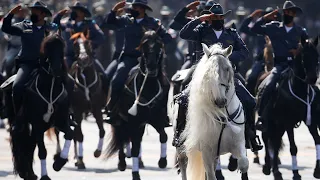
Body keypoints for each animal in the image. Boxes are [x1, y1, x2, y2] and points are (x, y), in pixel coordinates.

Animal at [0, 31, 73, 179]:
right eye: (46, 48)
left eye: (61, 46)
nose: (56, 69)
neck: (50, 88)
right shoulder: (37, 123)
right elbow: (42, 151)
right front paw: (45, 176)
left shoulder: (61, 121)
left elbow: (69, 134)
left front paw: (59, 162)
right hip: (22, 123)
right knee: (22, 140)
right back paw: (26, 172)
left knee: (30, 143)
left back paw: (30, 173)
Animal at [53, 30, 107, 169]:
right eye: (75, 44)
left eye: (87, 42)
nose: (83, 59)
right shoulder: (77, 111)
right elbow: (80, 135)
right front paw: (81, 160)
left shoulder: (96, 109)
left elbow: (102, 131)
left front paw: (97, 152)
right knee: (59, 131)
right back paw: (60, 154)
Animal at [104, 30, 170, 180]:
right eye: (144, 45)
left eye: (159, 45)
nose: (151, 67)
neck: (148, 86)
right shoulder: (134, 122)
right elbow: (133, 148)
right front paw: (135, 174)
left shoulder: (155, 119)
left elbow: (164, 136)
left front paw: (162, 161)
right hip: (121, 121)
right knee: (121, 139)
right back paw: (122, 163)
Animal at [184, 43, 249, 180]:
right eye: (208, 72)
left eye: (227, 69)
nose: (220, 100)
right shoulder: (207, 152)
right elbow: (210, 175)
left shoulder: (239, 144)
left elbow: (243, 163)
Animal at [260, 37, 320, 180]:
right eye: (304, 57)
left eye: (317, 56)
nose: (313, 78)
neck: (299, 89)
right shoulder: (288, 122)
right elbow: (293, 147)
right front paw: (296, 173)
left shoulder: (311, 121)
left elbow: (317, 140)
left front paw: (317, 170)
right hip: (270, 122)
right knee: (266, 138)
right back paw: (268, 167)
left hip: (279, 126)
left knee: (275, 143)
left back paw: (276, 172)